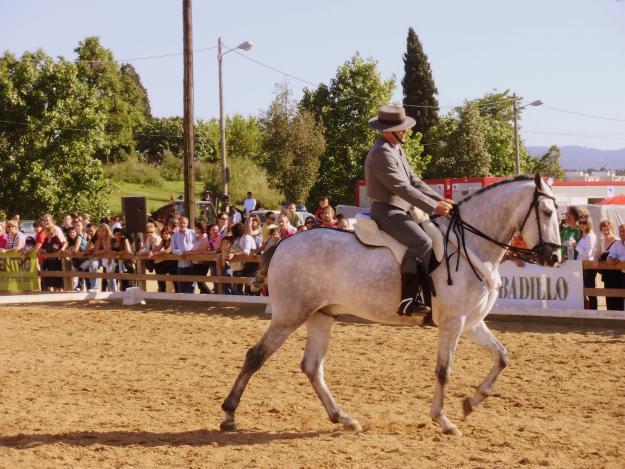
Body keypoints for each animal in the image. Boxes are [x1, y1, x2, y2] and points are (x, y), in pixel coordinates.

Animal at [221, 175, 560, 436]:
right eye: (545, 211)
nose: (554, 256)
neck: (470, 246)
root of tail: (283, 242)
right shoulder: (453, 322)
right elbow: (443, 370)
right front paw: (444, 420)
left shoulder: (471, 322)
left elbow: (501, 356)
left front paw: (470, 403)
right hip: (290, 314)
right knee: (256, 356)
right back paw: (229, 415)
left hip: (321, 316)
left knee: (312, 367)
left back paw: (343, 418)